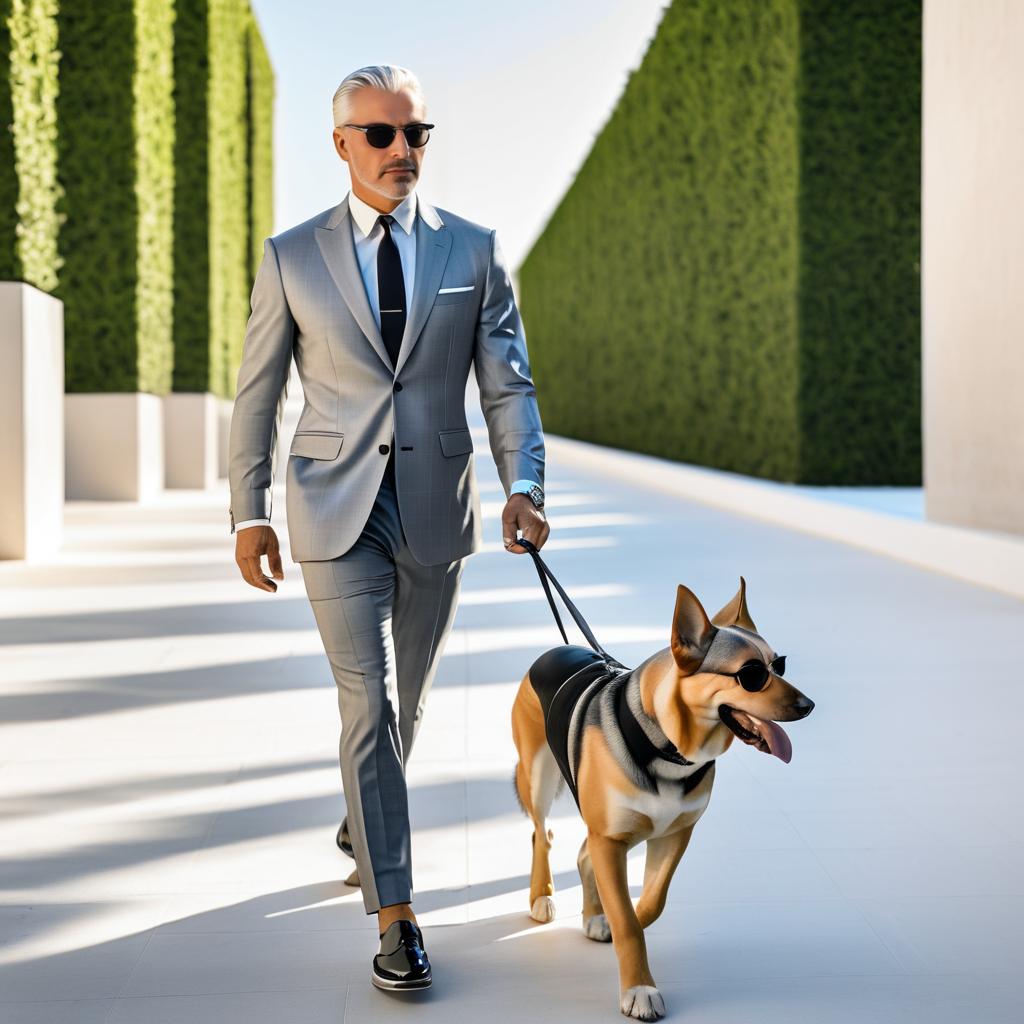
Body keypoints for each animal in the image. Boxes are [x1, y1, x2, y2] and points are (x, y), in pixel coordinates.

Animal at [512, 581, 815, 1019]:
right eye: (751, 675)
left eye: (780, 665)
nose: (809, 706)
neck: (667, 747)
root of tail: (557, 648)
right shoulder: (611, 839)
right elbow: (627, 921)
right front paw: (638, 988)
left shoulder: (673, 835)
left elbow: (651, 904)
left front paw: (626, 921)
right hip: (537, 775)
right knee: (542, 834)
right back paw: (542, 897)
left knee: (583, 854)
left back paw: (593, 916)